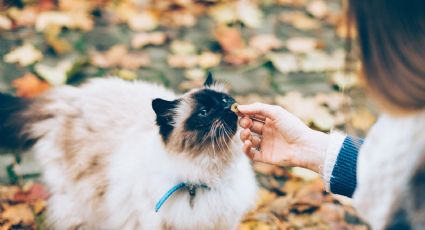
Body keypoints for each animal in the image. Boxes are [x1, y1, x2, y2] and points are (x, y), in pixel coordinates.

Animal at [0, 74, 256, 230]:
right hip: (83, 203)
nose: (228, 108)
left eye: (224, 99)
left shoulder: (224, 223)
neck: (208, 174)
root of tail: (69, 97)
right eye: (204, 112)